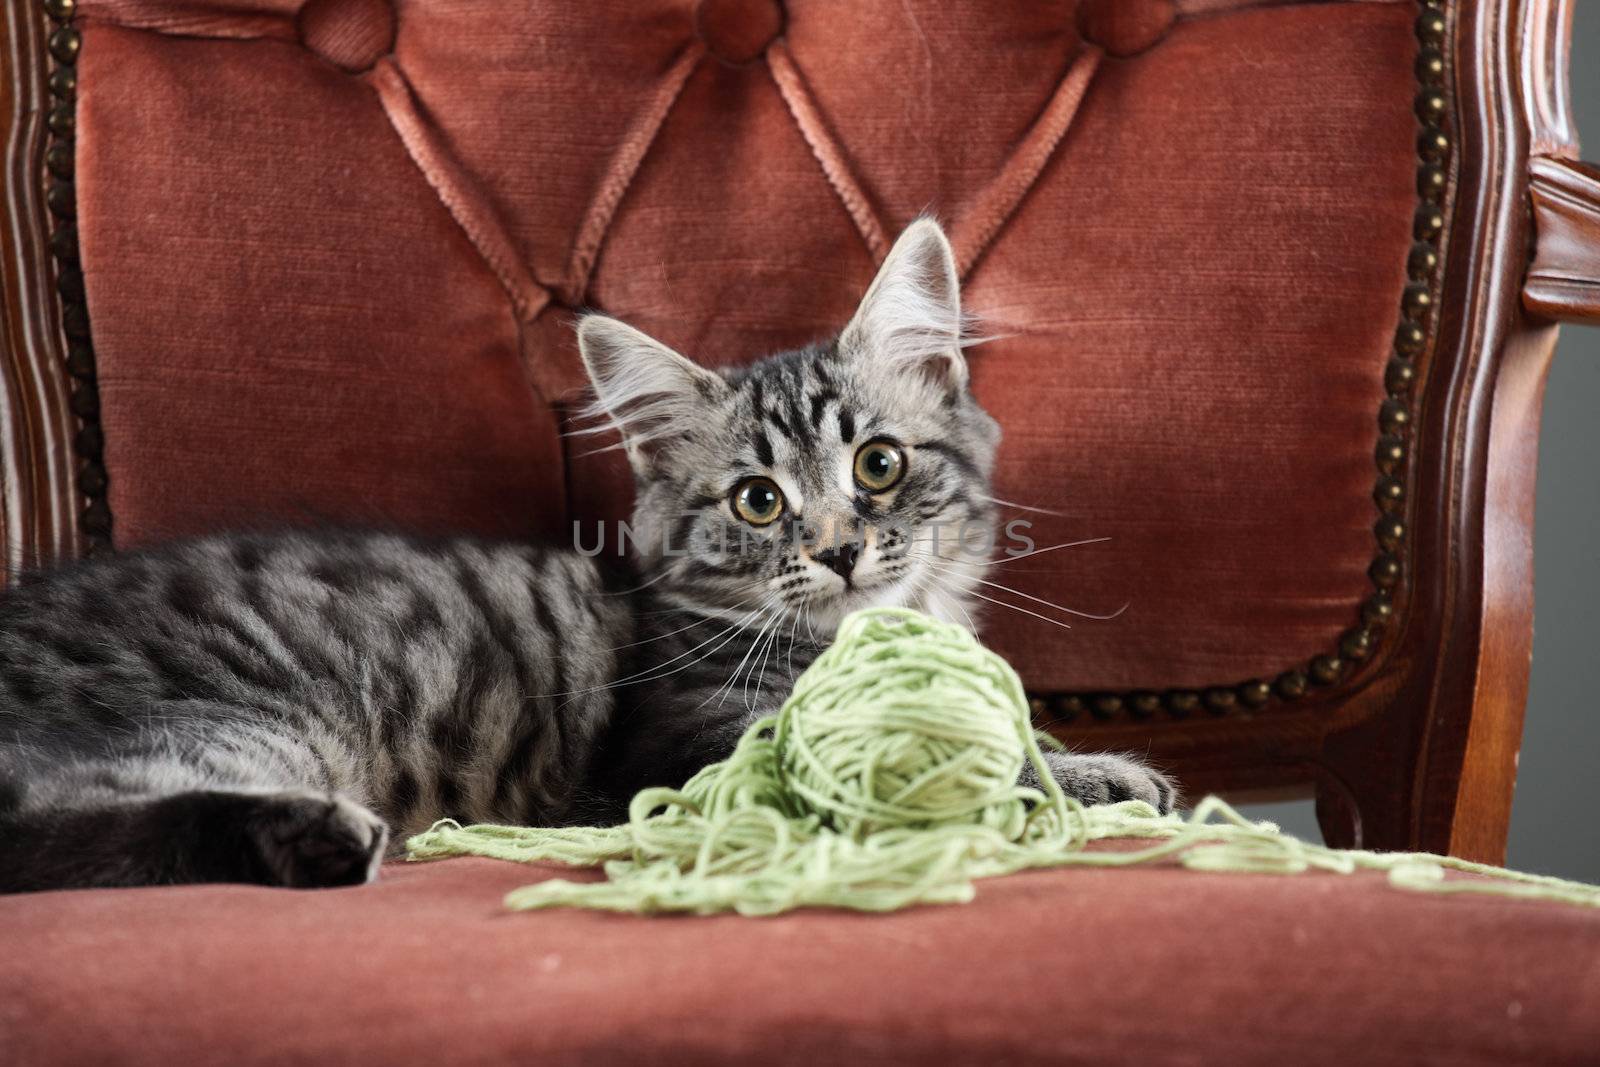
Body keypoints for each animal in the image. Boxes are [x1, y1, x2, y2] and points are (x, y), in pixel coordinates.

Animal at [0, 219, 1177, 895]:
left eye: (877, 464)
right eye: (758, 501)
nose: (841, 551)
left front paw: (1077, 757)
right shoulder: (693, 745)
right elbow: (919, 757)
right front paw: (1094, 776)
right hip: (244, 717)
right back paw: (325, 838)